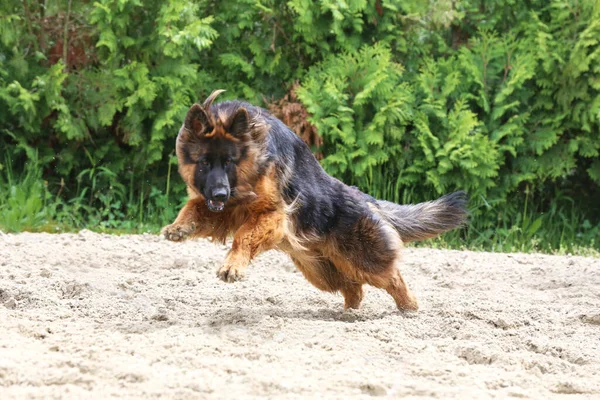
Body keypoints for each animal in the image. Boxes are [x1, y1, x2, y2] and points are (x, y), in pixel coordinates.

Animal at [161, 90, 468, 310]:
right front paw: (179, 226)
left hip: (362, 259)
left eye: (229, 162)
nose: (219, 194)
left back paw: (409, 307)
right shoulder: (227, 207)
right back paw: (348, 314)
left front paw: (232, 265)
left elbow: (244, 237)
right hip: (320, 270)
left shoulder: (271, 213)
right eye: (204, 162)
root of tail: (365, 198)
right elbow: (194, 207)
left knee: (390, 278)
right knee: (353, 288)